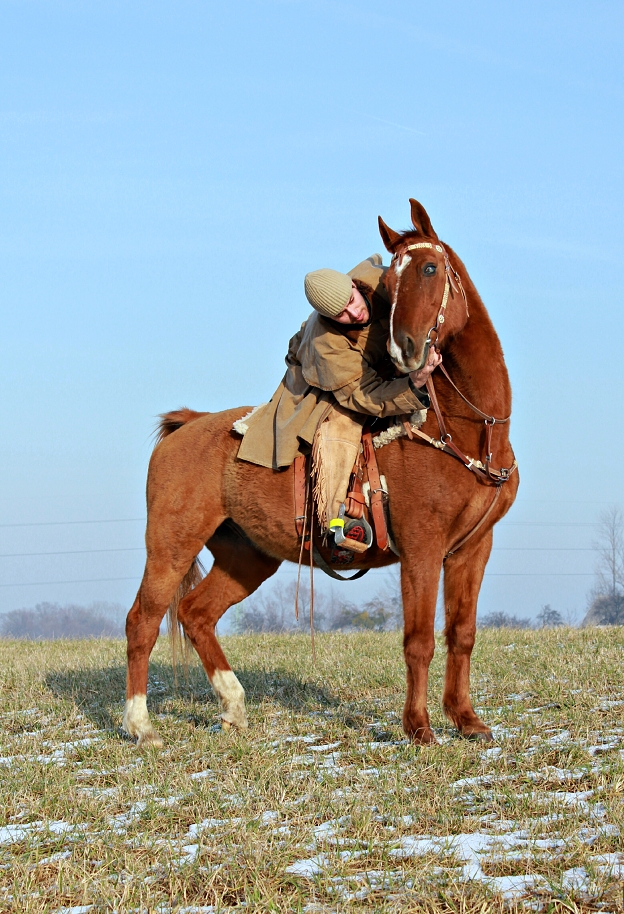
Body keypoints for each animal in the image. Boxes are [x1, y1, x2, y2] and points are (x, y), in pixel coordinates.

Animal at [122, 200, 516, 748]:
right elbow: (418, 640)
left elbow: (462, 633)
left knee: (196, 615)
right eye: (389, 284)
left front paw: (467, 720)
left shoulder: (472, 548)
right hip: (170, 545)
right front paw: (419, 729)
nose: (406, 350)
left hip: (247, 556)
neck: (461, 430)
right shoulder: (422, 548)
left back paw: (234, 708)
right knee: (143, 621)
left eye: (429, 269)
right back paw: (142, 727)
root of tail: (189, 424)